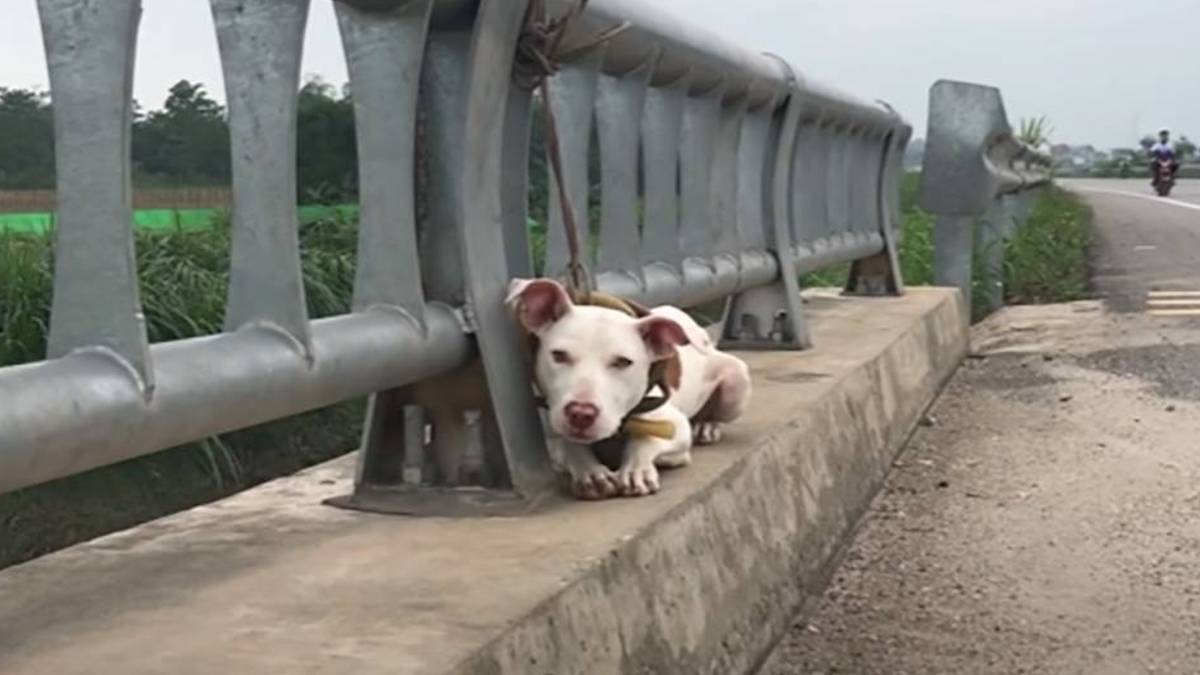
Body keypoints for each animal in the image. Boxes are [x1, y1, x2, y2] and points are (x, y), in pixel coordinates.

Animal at [506, 276, 748, 497]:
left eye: (623, 362)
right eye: (558, 355)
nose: (581, 414)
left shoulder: (675, 425)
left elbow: (646, 437)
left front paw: (636, 469)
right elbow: (569, 445)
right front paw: (591, 472)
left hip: (737, 378)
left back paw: (706, 426)